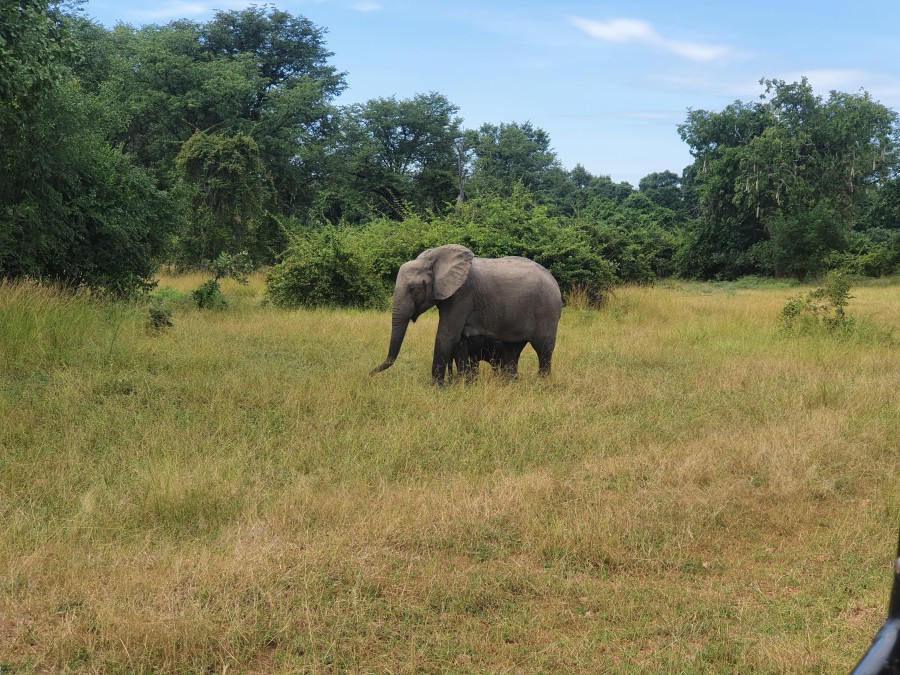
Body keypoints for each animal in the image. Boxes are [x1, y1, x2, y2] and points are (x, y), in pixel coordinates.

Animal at [370, 246, 560, 386]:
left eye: (413, 289)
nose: (370, 373)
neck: (434, 259)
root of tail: (553, 279)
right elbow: (459, 339)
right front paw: (464, 385)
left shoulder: (461, 295)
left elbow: (447, 336)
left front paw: (436, 388)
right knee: (512, 349)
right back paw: (509, 384)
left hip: (547, 310)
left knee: (544, 348)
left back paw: (543, 384)